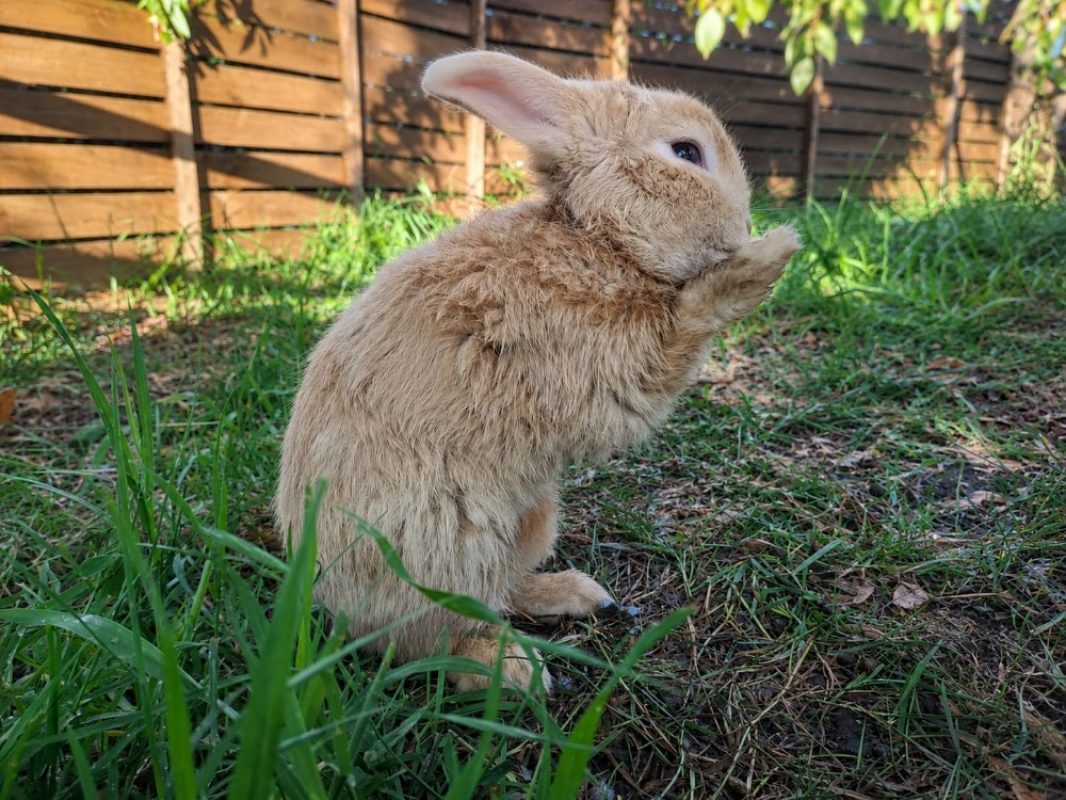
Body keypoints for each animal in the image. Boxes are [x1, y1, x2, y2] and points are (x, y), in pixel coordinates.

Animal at [276, 50, 800, 693]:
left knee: (500, 592)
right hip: (443, 550)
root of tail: (328, 592)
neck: (598, 238)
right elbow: (682, 330)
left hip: (533, 520)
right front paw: (768, 257)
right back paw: (512, 667)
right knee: (431, 639)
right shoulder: (602, 366)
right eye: (685, 151)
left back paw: (578, 595)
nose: (742, 230)